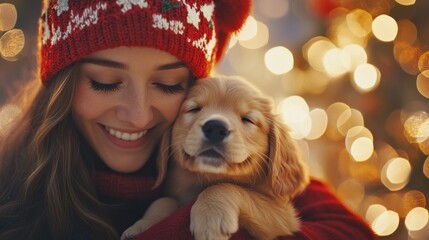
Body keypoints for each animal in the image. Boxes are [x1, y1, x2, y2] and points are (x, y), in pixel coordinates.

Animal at [120, 75, 308, 240]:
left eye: (248, 119)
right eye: (194, 109)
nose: (216, 128)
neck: (205, 177)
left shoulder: (284, 216)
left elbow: (223, 187)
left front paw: (210, 220)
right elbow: (164, 200)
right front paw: (142, 225)